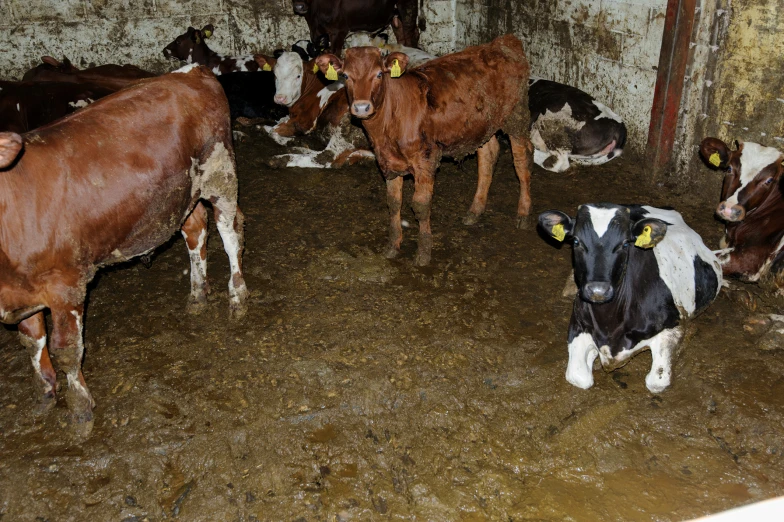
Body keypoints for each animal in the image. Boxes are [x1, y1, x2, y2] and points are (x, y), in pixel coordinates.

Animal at [0, 63, 248, 432]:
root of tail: (191, 71)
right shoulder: (23, 293)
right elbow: (33, 341)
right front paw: (45, 393)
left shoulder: (66, 285)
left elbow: (66, 350)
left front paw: (80, 410)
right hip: (182, 193)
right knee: (196, 231)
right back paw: (197, 294)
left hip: (220, 174)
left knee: (230, 234)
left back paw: (237, 296)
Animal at [316, 33, 532, 264]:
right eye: (346, 76)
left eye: (379, 74)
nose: (361, 107)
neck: (390, 120)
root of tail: (504, 41)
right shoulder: (388, 162)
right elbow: (393, 202)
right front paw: (393, 246)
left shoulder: (425, 160)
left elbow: (420, 205)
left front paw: (424, 252)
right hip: (482, 125)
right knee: (488, 156)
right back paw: (475, 211)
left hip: (516, 116)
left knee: (522, 161)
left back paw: (523, 213)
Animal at [540, 202, 724, 390]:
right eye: (576, 241)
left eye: (625, 244)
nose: (598, 290)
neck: (609, 325)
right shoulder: (578, 323)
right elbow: (578, 376)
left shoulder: (674, 324)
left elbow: (657, 381)